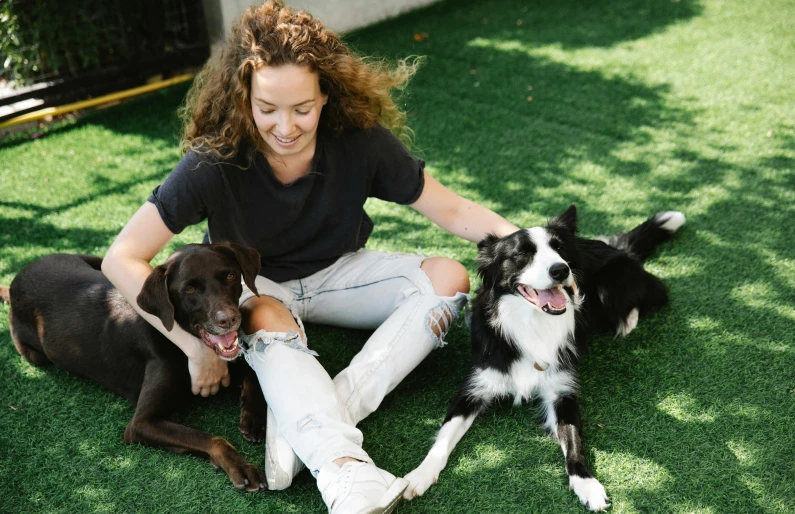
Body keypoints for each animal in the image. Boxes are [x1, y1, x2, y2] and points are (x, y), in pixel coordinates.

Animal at [1, 242, 268, 490]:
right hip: (35, 354)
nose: (230, 319)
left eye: (230, 276)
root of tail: (20, 275)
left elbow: (253, 374)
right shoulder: (141, 424)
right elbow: (212, 439)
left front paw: (254, 419)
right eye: (190, 289)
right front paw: (242, 466)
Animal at [404, 204, 684, 508]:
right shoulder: (474, 388)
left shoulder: (561, 391)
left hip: (612, 284)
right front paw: (419, 475)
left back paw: (627, 322)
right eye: (522, 254)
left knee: (655, 294)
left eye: (559, 248)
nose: (561, 269)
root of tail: (617, 248)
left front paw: (587, 484)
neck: (532, 322)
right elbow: (444, 437)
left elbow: (575, 442)